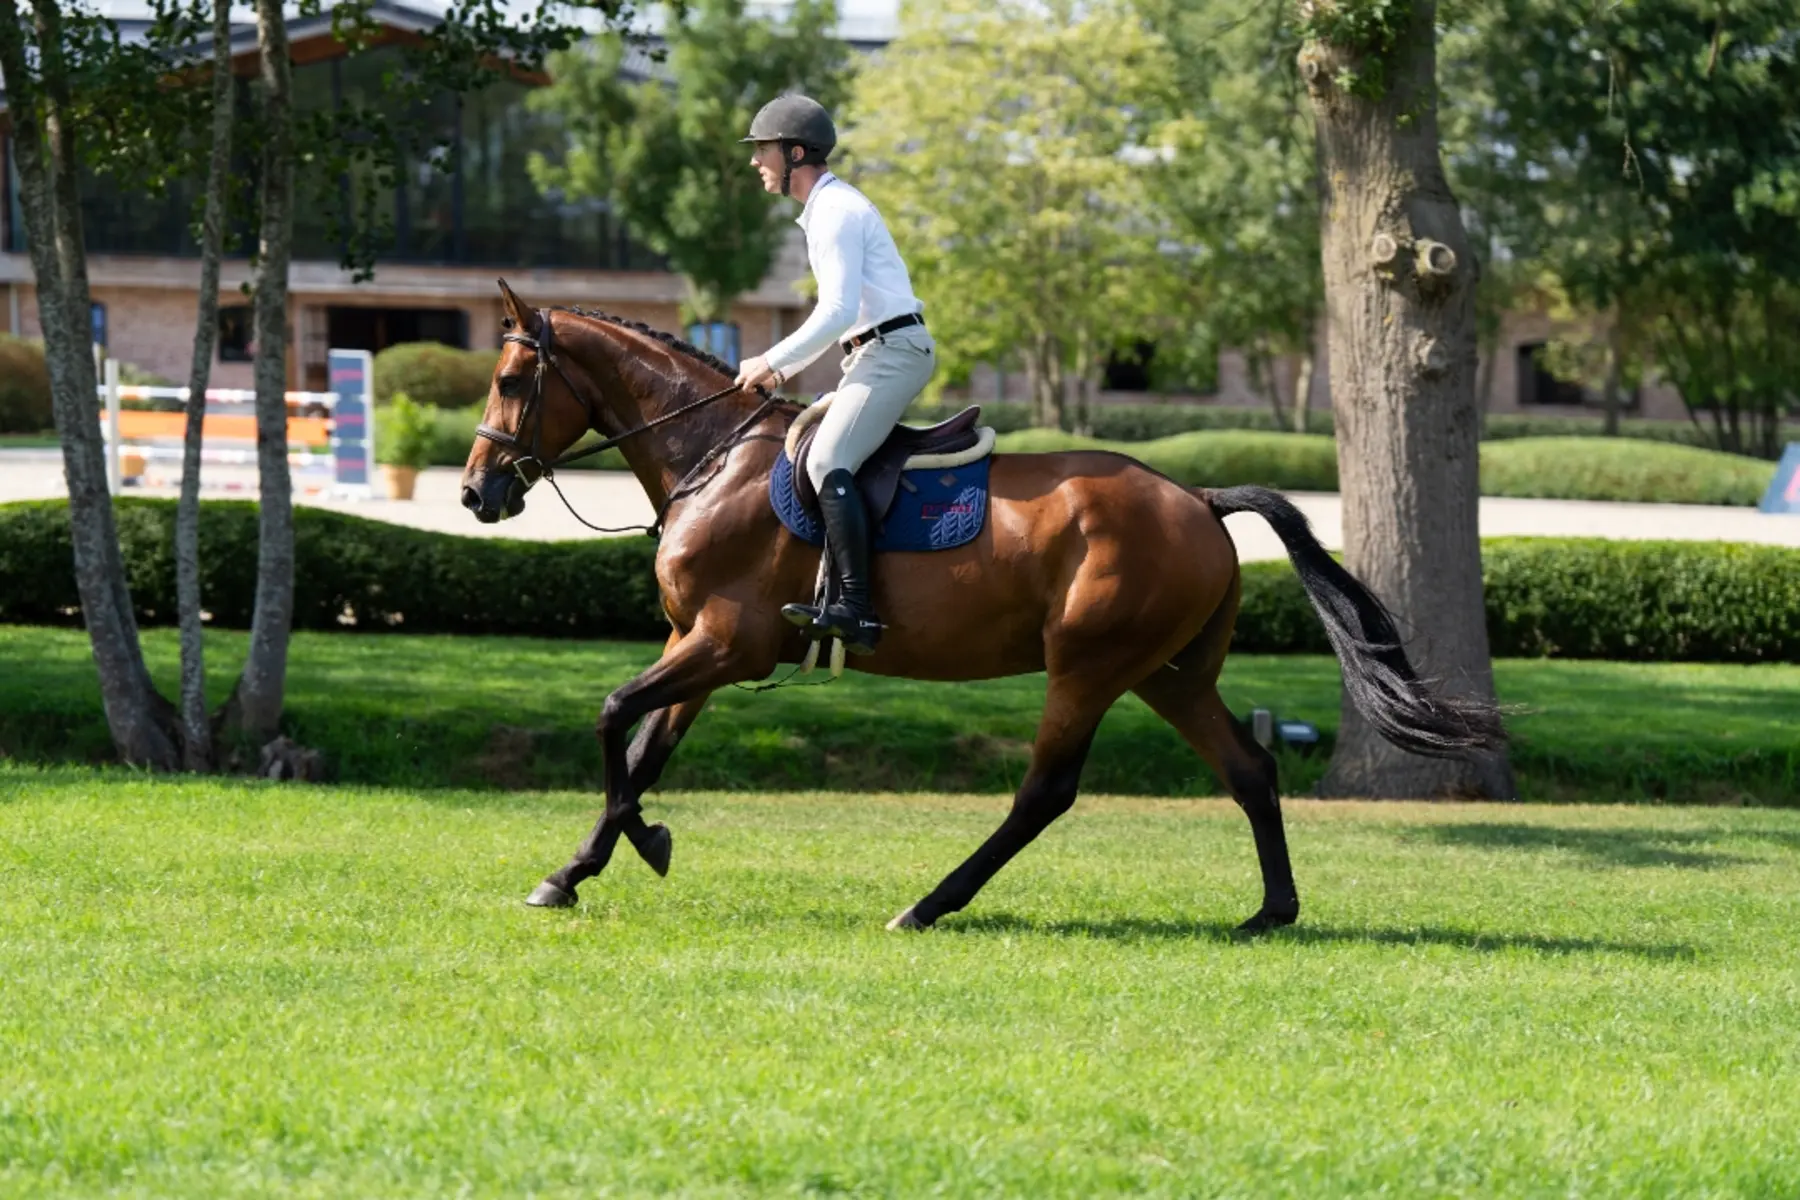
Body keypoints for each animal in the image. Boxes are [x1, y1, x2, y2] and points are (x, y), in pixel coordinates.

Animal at [460, 281, 1505, 932]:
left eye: (510, 382)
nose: (476, 493)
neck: (714, 459)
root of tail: (1197, 498)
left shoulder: (724, 642)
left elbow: (612, 719)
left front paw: (637, 844)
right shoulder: (701, 645)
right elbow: (643, 748)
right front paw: (583, 867)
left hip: (1087, 665)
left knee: (1044, 792)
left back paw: (929, 904)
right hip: (1168, 675)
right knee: (1249, 770)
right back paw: (1271, 911)